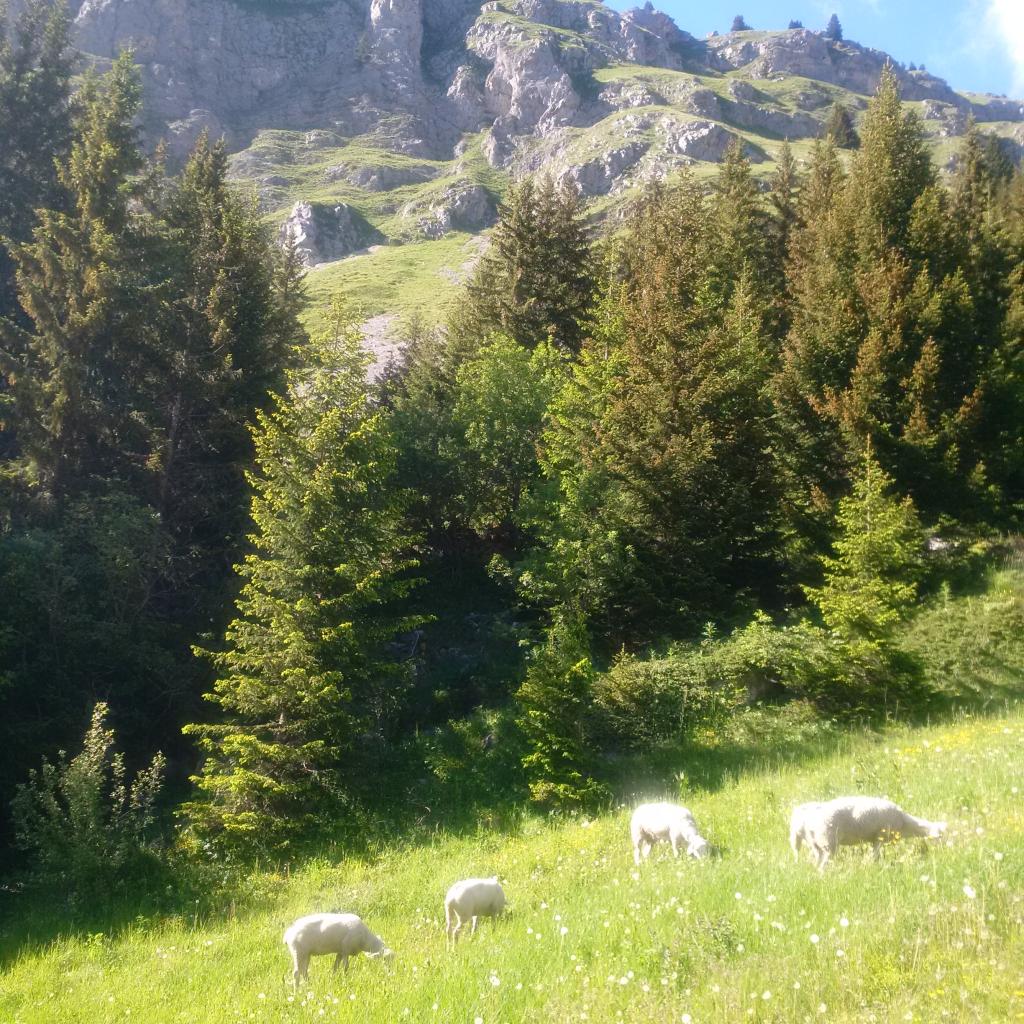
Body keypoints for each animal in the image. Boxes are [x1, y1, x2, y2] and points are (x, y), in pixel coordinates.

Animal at [798, 794, 942, 868]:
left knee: (817, 863)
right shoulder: (880, 837)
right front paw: (874, 865)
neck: (905, 824)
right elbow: (875, 854)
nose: (943, 852)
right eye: (941, 836)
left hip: (817, 845)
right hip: (828, 841)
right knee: (823, 866)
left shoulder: (875, 839)